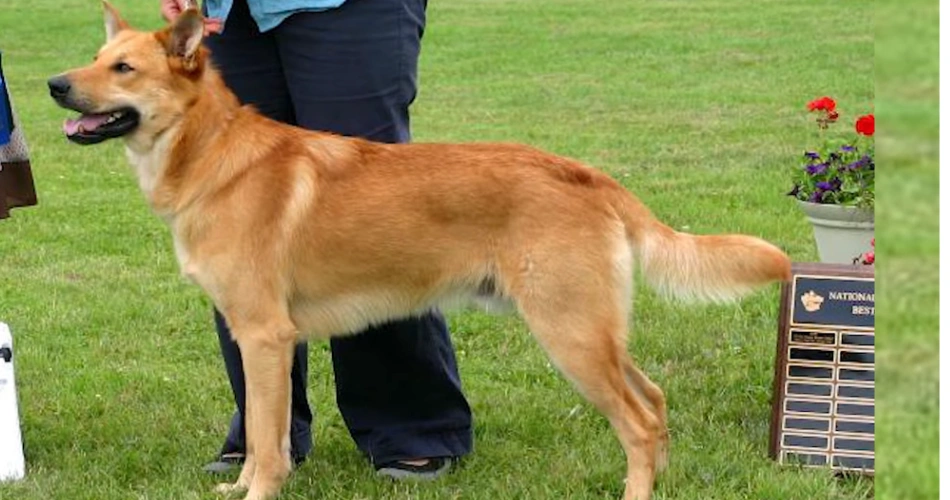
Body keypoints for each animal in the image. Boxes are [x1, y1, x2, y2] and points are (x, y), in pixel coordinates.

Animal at [48, 3, 792, 500]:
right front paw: (240, 488)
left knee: (636, 423)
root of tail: (582, 172)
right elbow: (265, 438)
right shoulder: (256, 338)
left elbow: (267, 440)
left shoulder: (264, 337)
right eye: (94, 59)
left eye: (123, 68)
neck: (211, 156)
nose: (55, 84)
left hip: (570, 336)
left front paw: (258, 492)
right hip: (594, 333)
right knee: (655, 403)